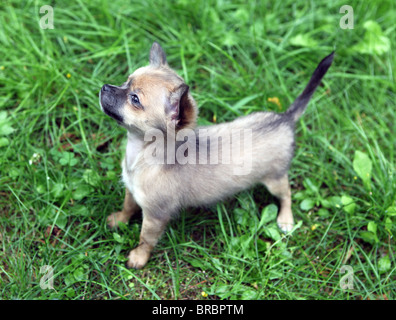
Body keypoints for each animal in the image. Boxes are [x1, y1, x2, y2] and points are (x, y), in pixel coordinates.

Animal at [99, 42, 334, 268]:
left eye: (134, 99)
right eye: (126, 81)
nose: (103, 87)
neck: (141, 154)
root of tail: (285, 118)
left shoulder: (155, 216)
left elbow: (145, 239)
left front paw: (138, 257)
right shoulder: (131, 191)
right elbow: (128, 206)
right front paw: (119, 220)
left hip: (275, 179)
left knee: (286, 194)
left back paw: (285, 219)